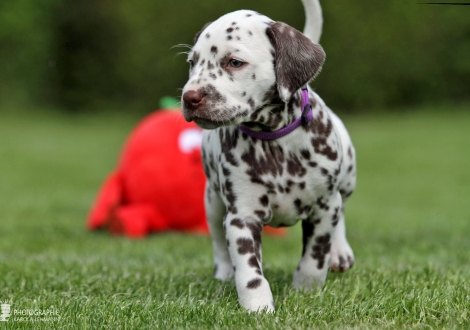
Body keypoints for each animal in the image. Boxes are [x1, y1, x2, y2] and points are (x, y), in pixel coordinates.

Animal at [181, 0, 356, 314]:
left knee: (342, 210)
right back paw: (223, 274)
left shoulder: (324, 207)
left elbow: (315, 256)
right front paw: (258, 307)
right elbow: (249, 271)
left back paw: (340, 251)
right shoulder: (242, 217)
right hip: (212, 202)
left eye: (234, 62)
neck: (275, 142)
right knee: (218, 242)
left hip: (347, 178)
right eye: (192, 62)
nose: (189, 97)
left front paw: (306, 291)